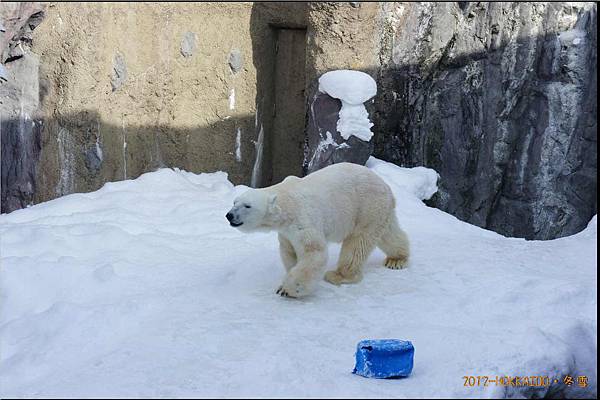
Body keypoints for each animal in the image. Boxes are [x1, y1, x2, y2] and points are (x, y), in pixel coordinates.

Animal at [227, 162, 410, 296]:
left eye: (247, 206)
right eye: (234, 202)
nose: (229, 215)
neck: (287, 201)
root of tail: (387, 187)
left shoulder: (304, 220)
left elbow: (314, 253)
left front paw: (287, 289)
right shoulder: (286, 233)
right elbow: (289, 251)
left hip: (367, 207)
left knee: (358, 243)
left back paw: (339, 275)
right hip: (378, 211)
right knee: (388, 233)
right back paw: (397, 259)